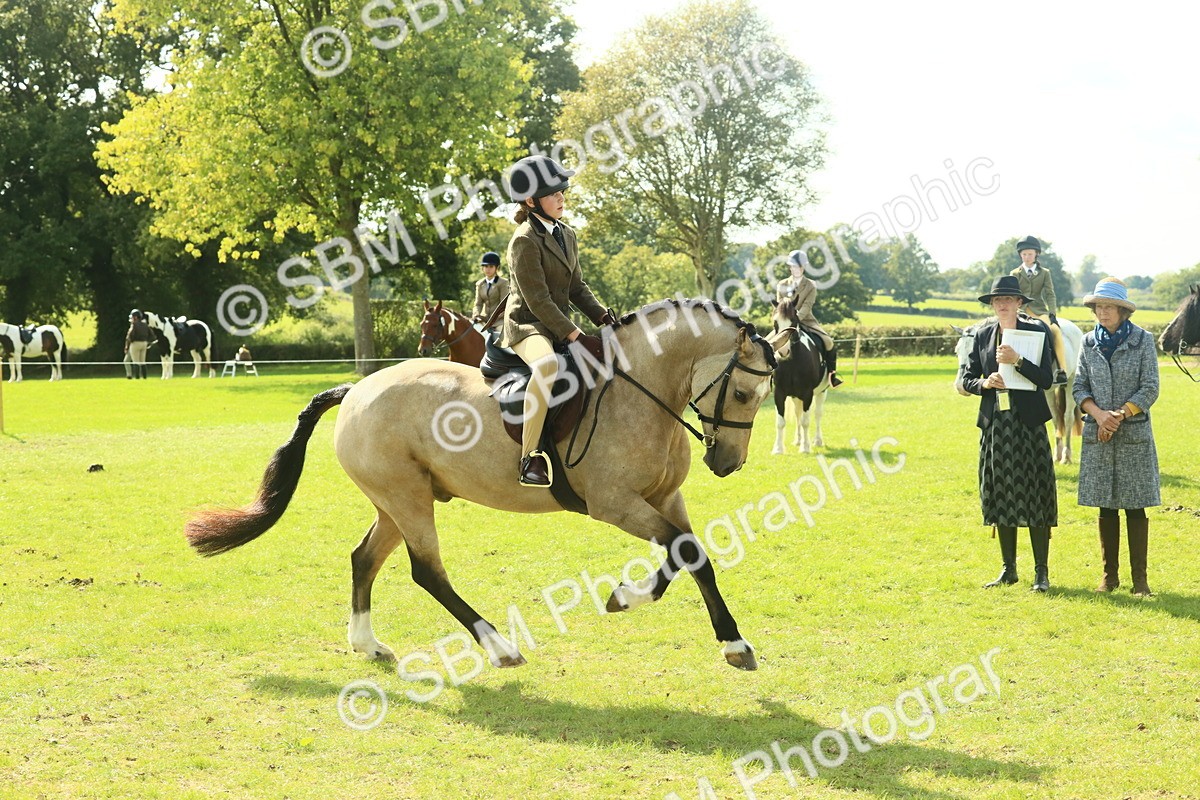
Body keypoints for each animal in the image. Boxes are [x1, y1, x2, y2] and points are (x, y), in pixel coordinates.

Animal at [184, 299, 791, 672]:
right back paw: (499, 647)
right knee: (426, 572)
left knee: (364, 558)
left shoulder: (665, 498)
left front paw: (705, 630)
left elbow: (690, 554)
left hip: (396, 501)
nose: (728, 463)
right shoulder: (614, 503)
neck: (637, 389)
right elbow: (686, 552)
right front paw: (640, 602)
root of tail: (355, 390)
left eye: (764, 396)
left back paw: (367, 644)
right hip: (407, 499)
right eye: (742, 393)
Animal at [770, 298, 827, 454]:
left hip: (822, 392)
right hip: (796, 396)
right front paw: (778, 448)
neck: (791, 363)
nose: (783, 351)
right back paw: (798, 440)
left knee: (818, 414)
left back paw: (817, 440)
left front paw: (805, 448)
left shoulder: (808, 394)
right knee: (798, 414)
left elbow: (806, 421)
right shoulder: (779, 393)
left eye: (794, 321)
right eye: (775, 322)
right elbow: (780, 422)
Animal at [952, 317, 1082, 464]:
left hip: (1071, 382)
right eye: (957, 351)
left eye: (970, 352)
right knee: (1055, 417)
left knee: (1067, 417)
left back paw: (1066, 456)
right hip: (1050, 392)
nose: (960, 387)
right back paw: (1057, 455)